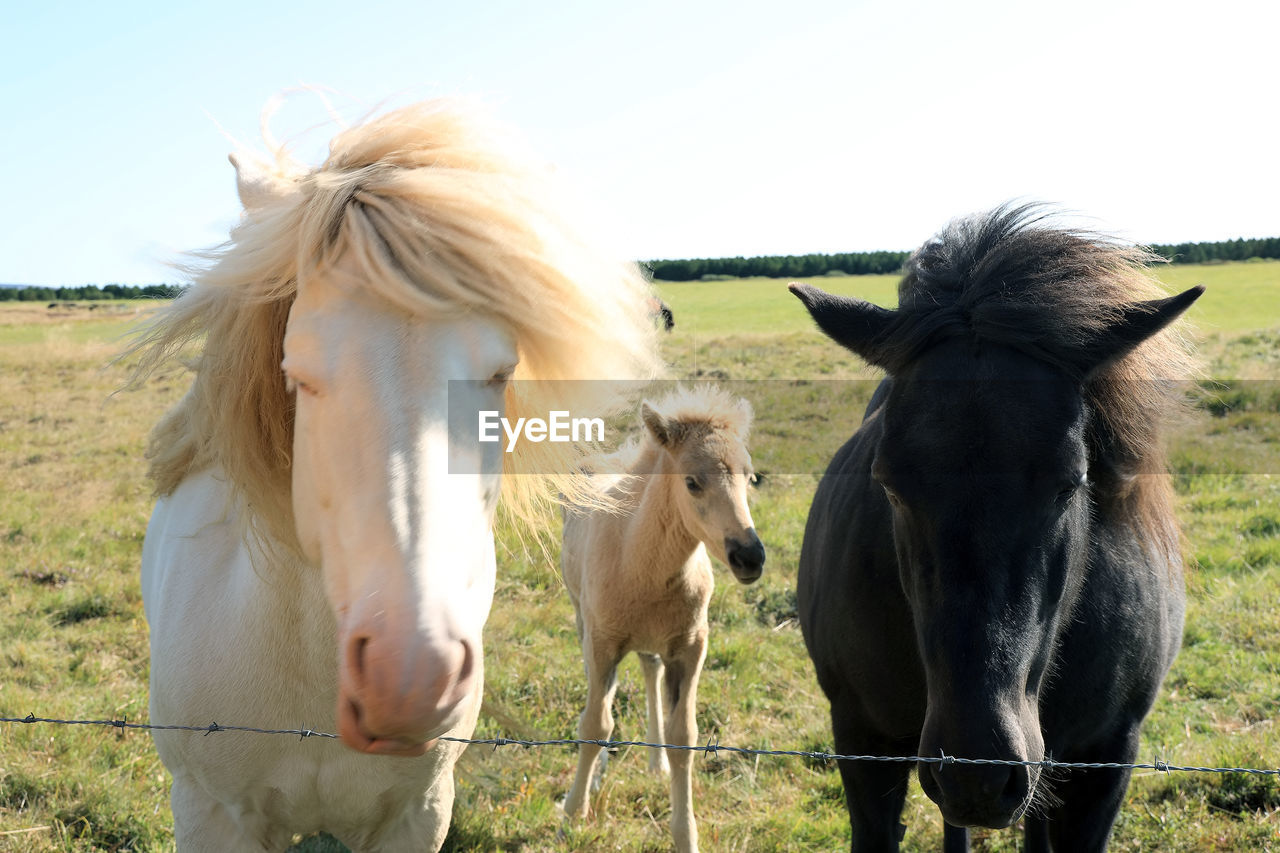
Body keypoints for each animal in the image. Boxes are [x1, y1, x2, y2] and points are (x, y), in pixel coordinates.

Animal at [558, 384, 757, 850]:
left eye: (751, 477)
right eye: (692, 482)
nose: (750, 556)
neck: (639, 560)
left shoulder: (690, 646)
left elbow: (685, 735)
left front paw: (686, 835)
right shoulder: (602, 641)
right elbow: (595, 722)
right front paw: (573, 811)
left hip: (654, 643)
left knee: (649, 669)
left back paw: (655, 760)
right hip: (582, 619)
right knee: (603, 688)